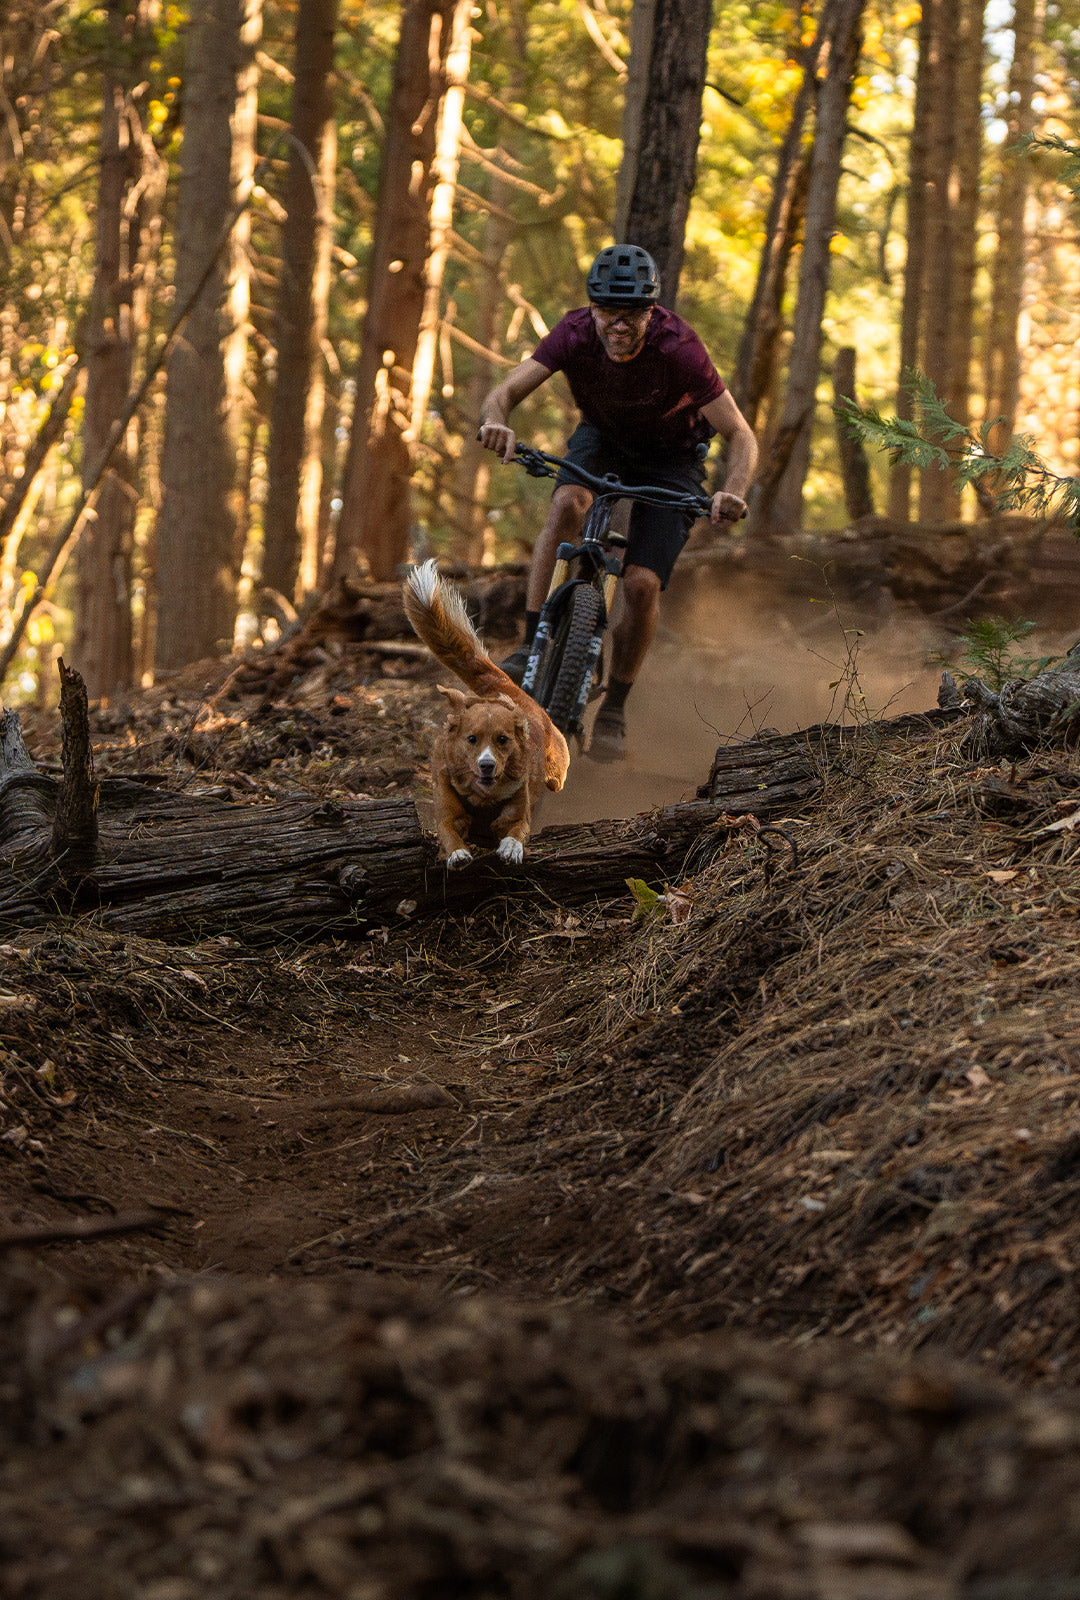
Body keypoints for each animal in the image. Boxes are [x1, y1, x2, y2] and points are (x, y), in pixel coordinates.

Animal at [406, 556, 576, 870]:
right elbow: (448, 834)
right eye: (471, 739)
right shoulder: (447, 814)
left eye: (503, 740)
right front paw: (457, 854)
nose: (487, 765)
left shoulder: (518, 816)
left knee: (556, 780)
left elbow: (516, 831)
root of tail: (506, 689)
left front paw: (511, 848)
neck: (484, 799)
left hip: (556, 771)